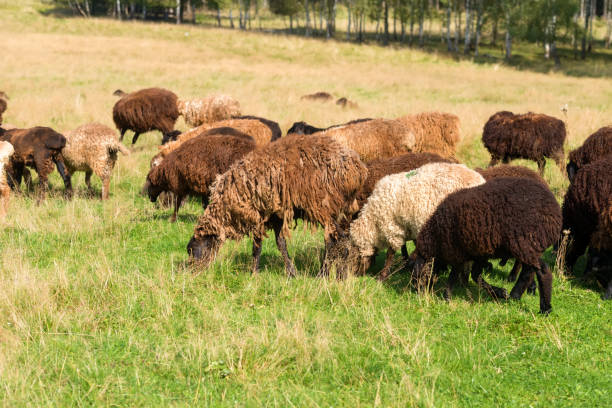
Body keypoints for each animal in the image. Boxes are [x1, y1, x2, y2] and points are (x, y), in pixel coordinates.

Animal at [186, 134, 368, 278]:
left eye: (193, 249)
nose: (192, 273)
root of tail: (357, 169)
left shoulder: (257, 215)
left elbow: (257, 246)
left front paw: (253, 273)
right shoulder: (275, 216)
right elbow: (281, 244)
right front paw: (291, 273)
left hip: (322, 207)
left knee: (334, 240)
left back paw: (323, 275)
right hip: (335, 209)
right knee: (340, 239)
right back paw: (339, 275)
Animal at [322, 163, 486, 280]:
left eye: (345, 254)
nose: (340, 278)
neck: (373, 223)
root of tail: (479, 179)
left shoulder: (392, 227)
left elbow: (391, 253)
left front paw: (382, 276)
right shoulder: (408, 227)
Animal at [414, 177, 560, 314]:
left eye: (416, 270)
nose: (416, 291)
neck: (435, 240)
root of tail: (554, 210)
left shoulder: (456, 251)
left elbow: (454, 276)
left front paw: (447, 297)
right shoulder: (477, 253)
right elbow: (475, 275)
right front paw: (500, 293)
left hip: (525, 242)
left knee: (542, 271)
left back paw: (545, 308)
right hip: (527, 246)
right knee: (528, 270)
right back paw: (514, 296)